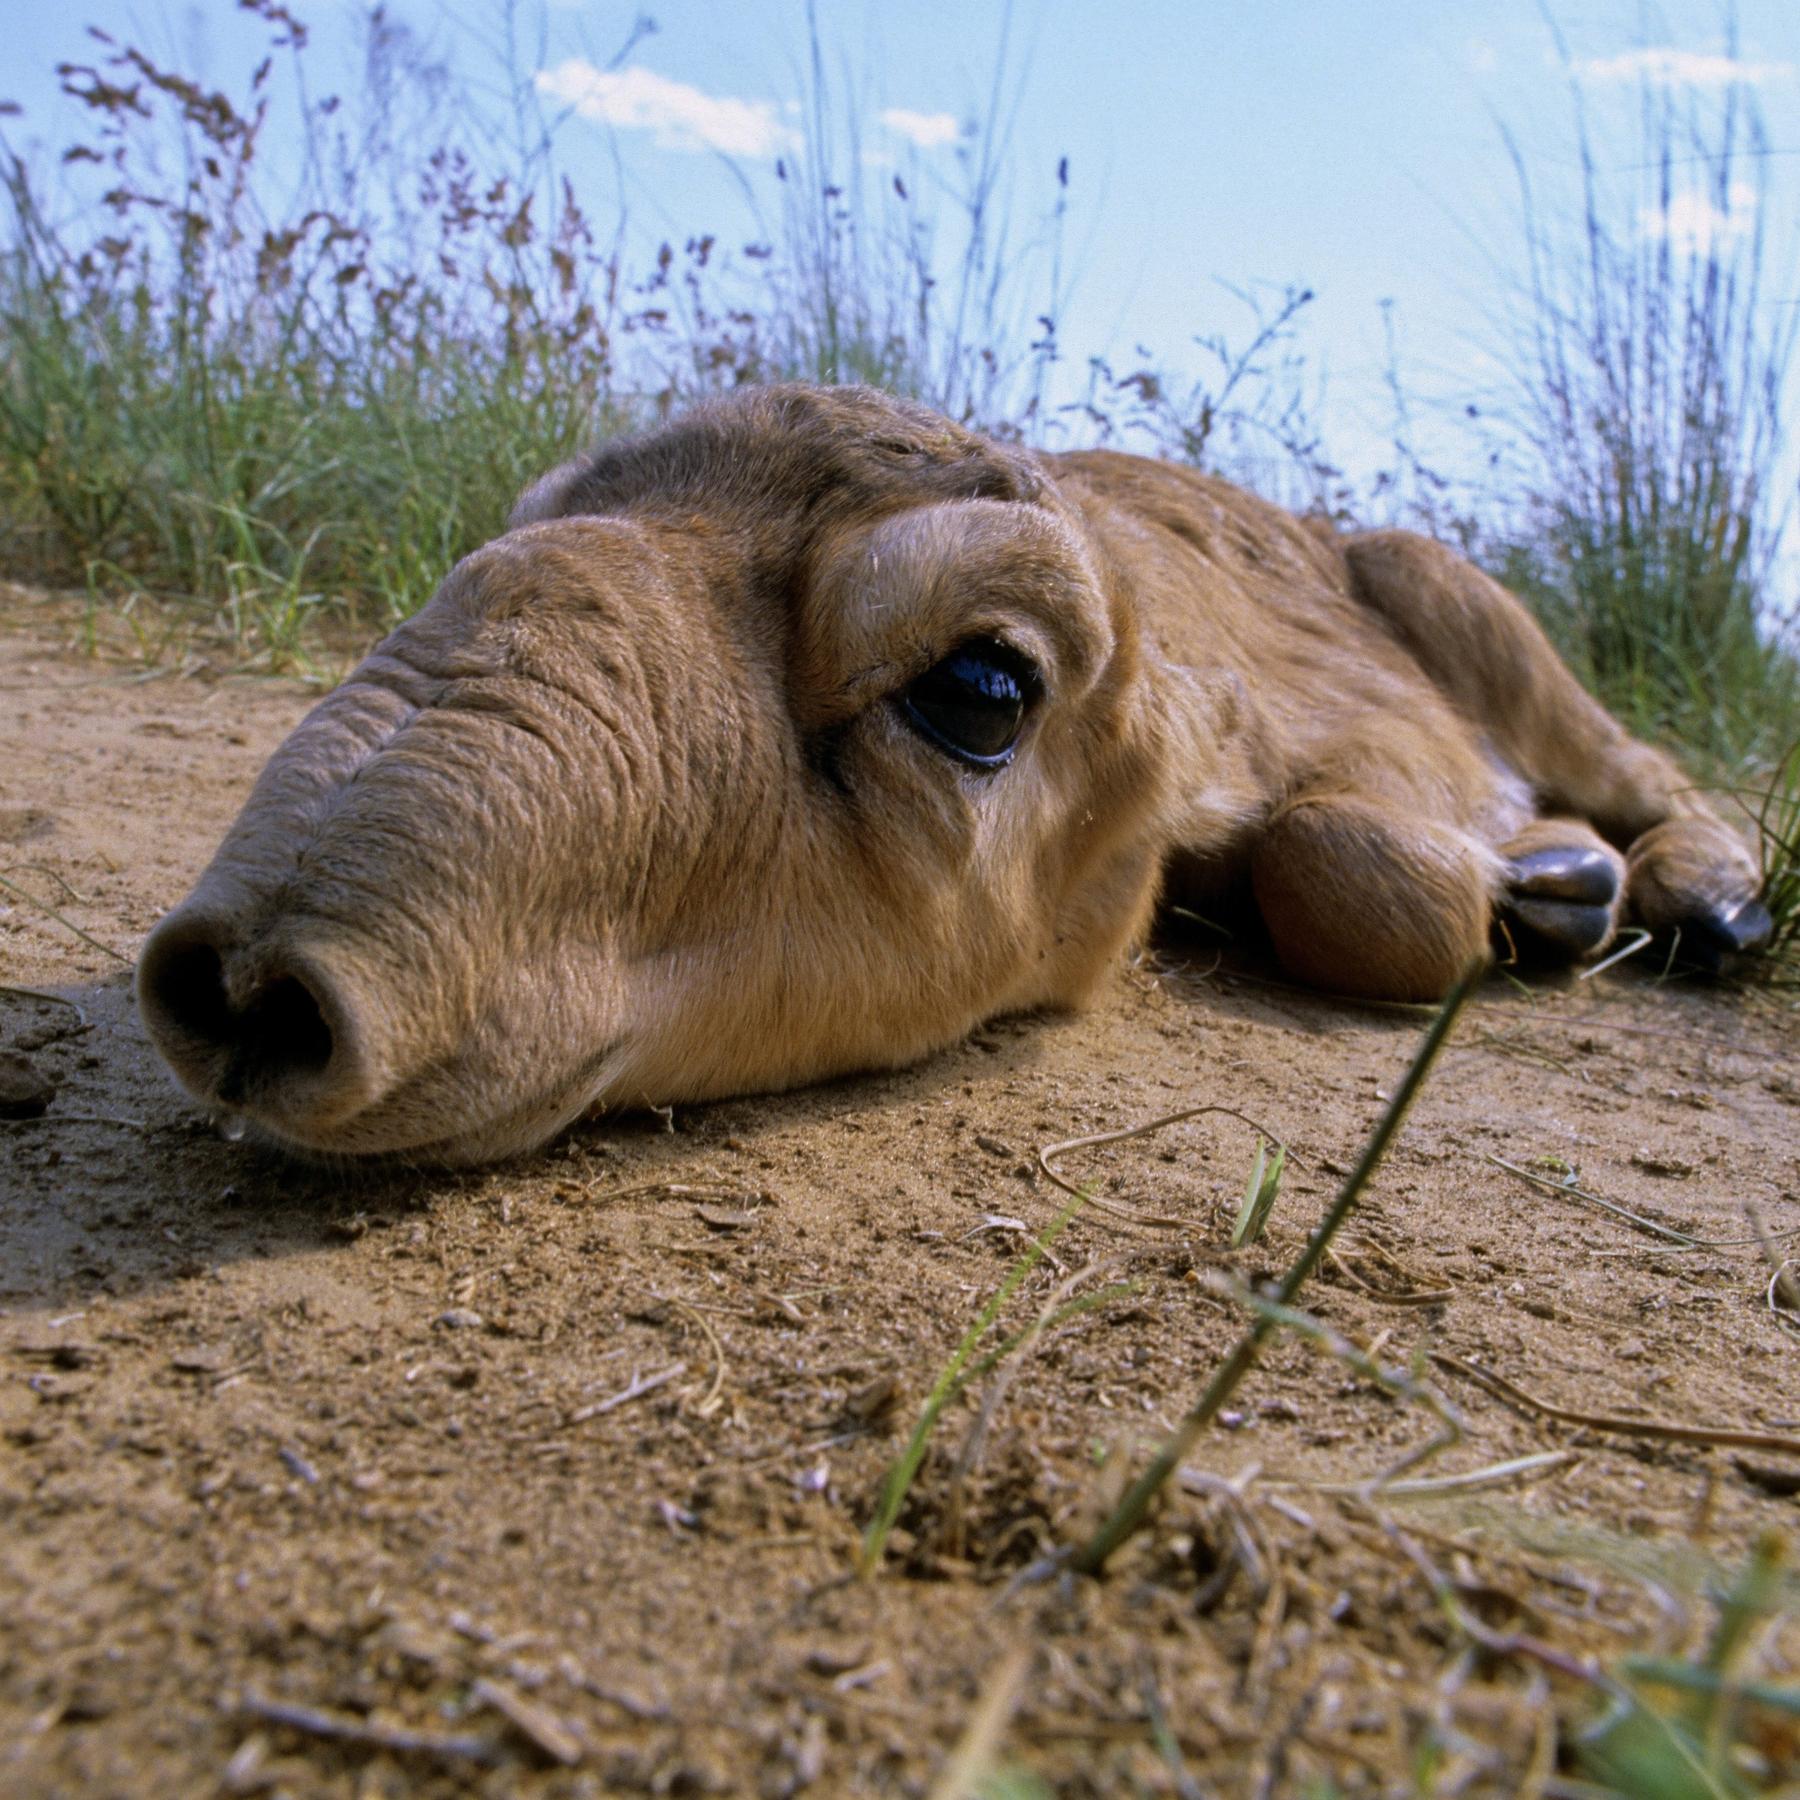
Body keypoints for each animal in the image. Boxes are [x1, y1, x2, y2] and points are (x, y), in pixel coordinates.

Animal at [140, 387, 1771, 1159]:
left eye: (985, 692)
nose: (257, 969)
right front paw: (1538, 887)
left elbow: (1339, 865)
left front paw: (1536, 892)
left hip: (1474, 607)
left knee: (1659, 769)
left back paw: (1703, 893)